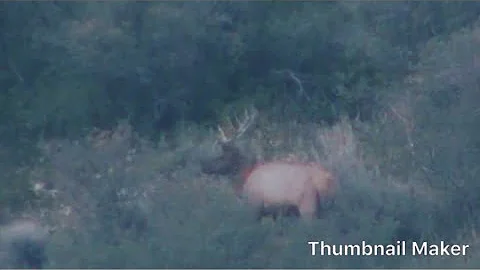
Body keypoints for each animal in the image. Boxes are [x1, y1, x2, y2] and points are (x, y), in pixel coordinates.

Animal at [201, 107, 336, 221]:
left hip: (307, 205)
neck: (243, 178)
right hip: (324, 207)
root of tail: (327, 178)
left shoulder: (254, 205)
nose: (204, 166)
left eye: (223, 156)